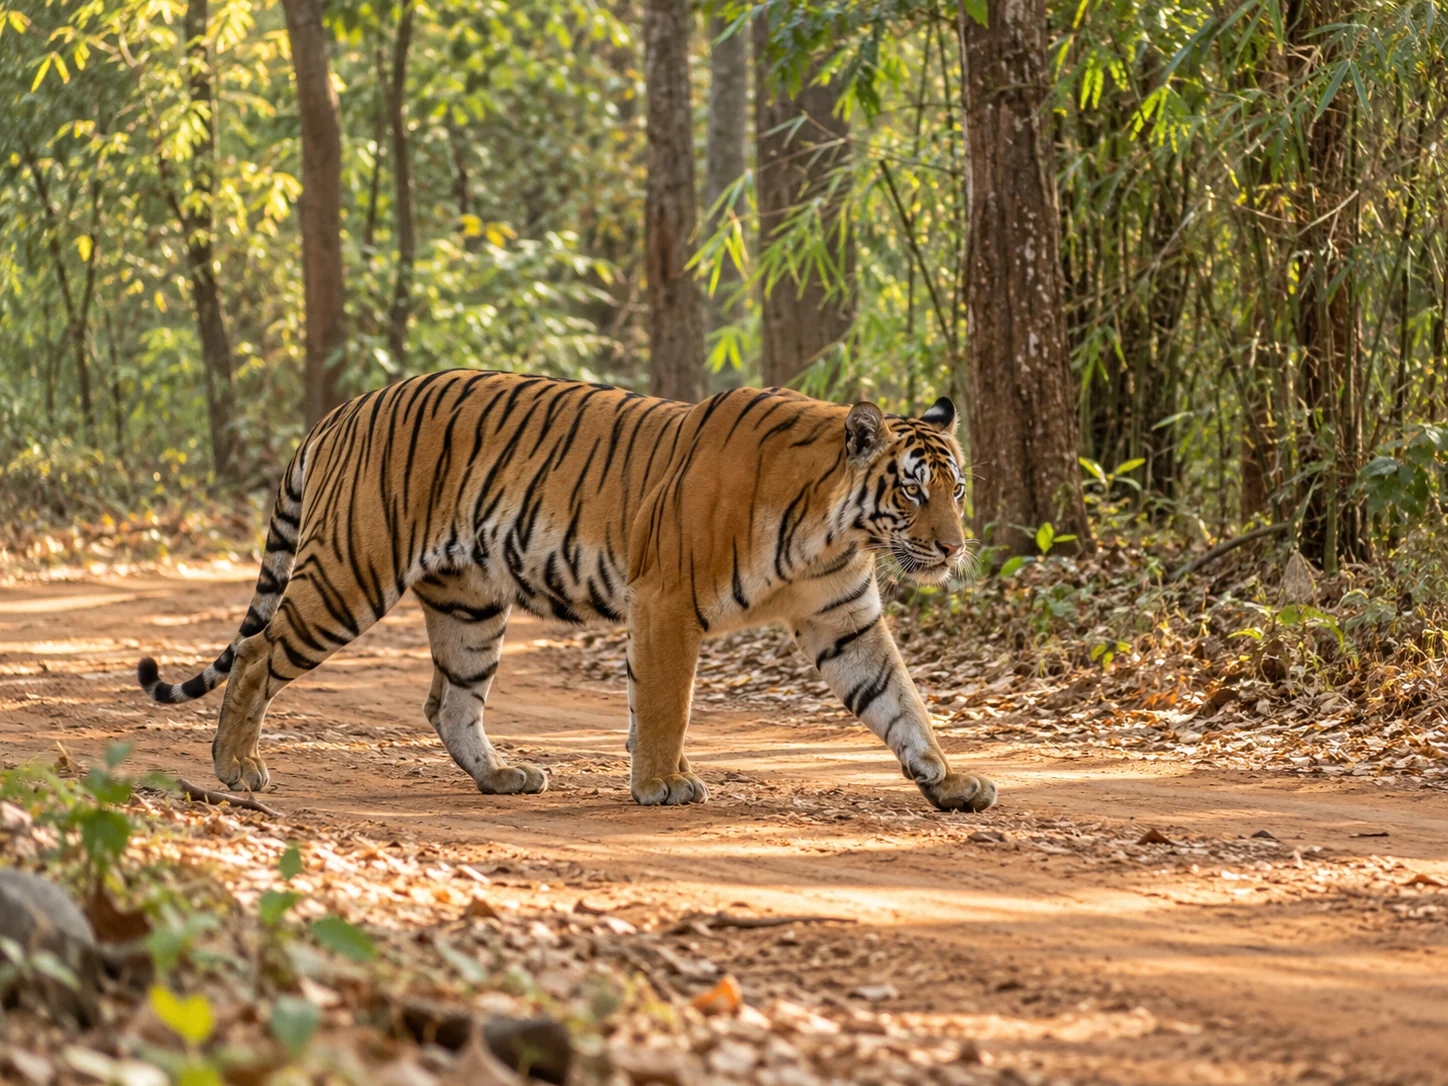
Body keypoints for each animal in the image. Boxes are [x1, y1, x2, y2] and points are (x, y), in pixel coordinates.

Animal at [137, 371, 997, 812]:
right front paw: (662, 784)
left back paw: (503, 776)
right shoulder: (666, 600)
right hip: (350, 573)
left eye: (957, 488)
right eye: (914, 492)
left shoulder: (842, 618)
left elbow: (900, 702)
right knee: (258, 652)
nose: (956, 547)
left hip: (471, 602)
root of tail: (343, 409)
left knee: (449, 704)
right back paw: (236, 767)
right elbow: (664, 704)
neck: (836, 529)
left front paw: (949, 781)